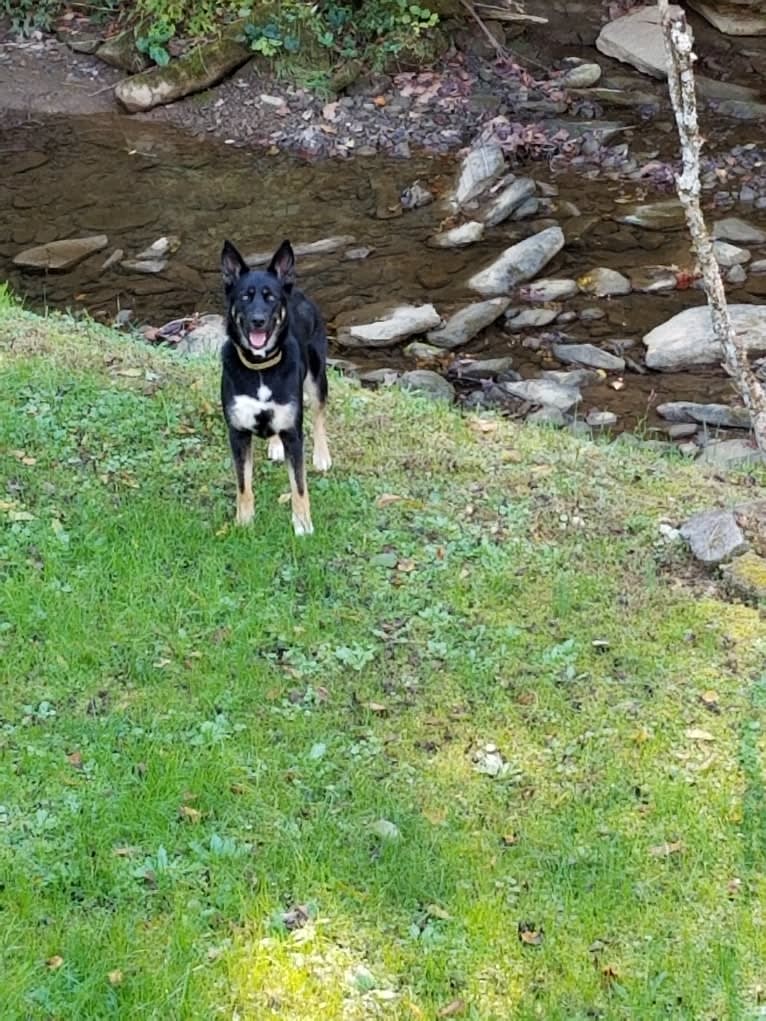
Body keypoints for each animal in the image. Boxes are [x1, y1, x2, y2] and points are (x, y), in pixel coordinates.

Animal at [218, 239, 332, 539]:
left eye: (271, 298)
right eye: (245, 297)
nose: (258, 320)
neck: (260, 367)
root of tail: (297, 290)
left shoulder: (293, 432)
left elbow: (299, 486)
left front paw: (303, 524)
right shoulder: (238, 433)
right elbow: (243, 484)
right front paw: (244, 521)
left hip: (317, 377)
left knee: (319, 414)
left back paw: (322, 456)